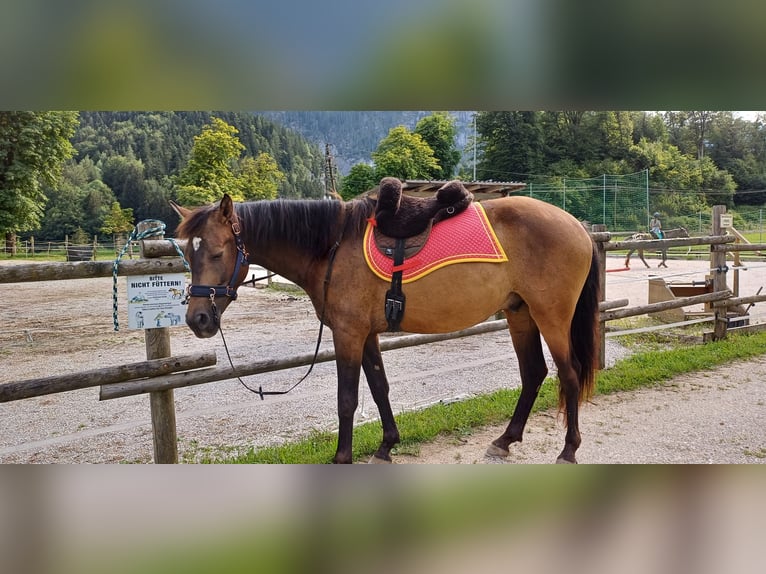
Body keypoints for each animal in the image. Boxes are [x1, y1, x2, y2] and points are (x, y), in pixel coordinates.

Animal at [171, 187, 604, 466]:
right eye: (187, 255)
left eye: (216, 252)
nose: (198, 319)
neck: (332, 246)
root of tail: (579, 226)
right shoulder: (367, 334)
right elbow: (379, 387)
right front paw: (386, 447)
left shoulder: (347, 334)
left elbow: (347, 399)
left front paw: (342, 458)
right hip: (520, 314)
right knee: (534, 374)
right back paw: (505, 440)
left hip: (551, 316)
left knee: (568, 375)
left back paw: (568, 451)